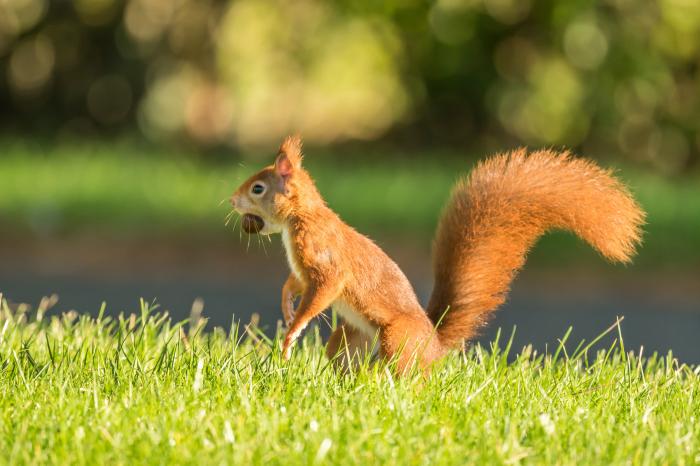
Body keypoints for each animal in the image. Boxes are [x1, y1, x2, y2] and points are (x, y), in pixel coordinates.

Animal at [231, 135, 644, 372]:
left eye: (257, 188)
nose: (233, 201)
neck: (301, 218)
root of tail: (433, 346)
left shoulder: (323, 256)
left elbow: (324, 288)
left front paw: (292, 333)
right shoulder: (303, 269)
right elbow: (294, 284)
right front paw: (287, 306)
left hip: (396, 339)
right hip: (351, 339)